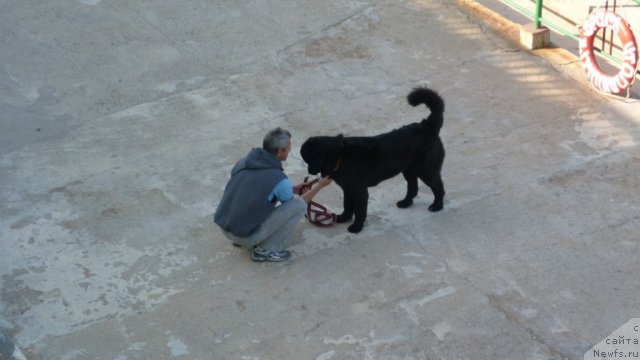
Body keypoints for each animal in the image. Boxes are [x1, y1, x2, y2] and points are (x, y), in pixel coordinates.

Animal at [300, 87, 444, 233]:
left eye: (309, 159)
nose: (309, 171)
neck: (340, 155)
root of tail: (427, 126)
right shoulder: (348, 189)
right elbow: (347, 205)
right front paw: (344, 218)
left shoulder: (359, 191)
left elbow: (359, 211)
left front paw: (357, 227)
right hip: (409, 170)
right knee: (413, 188)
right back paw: (406, 202)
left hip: (427, 171)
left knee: (439, 188)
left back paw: (437, 206)